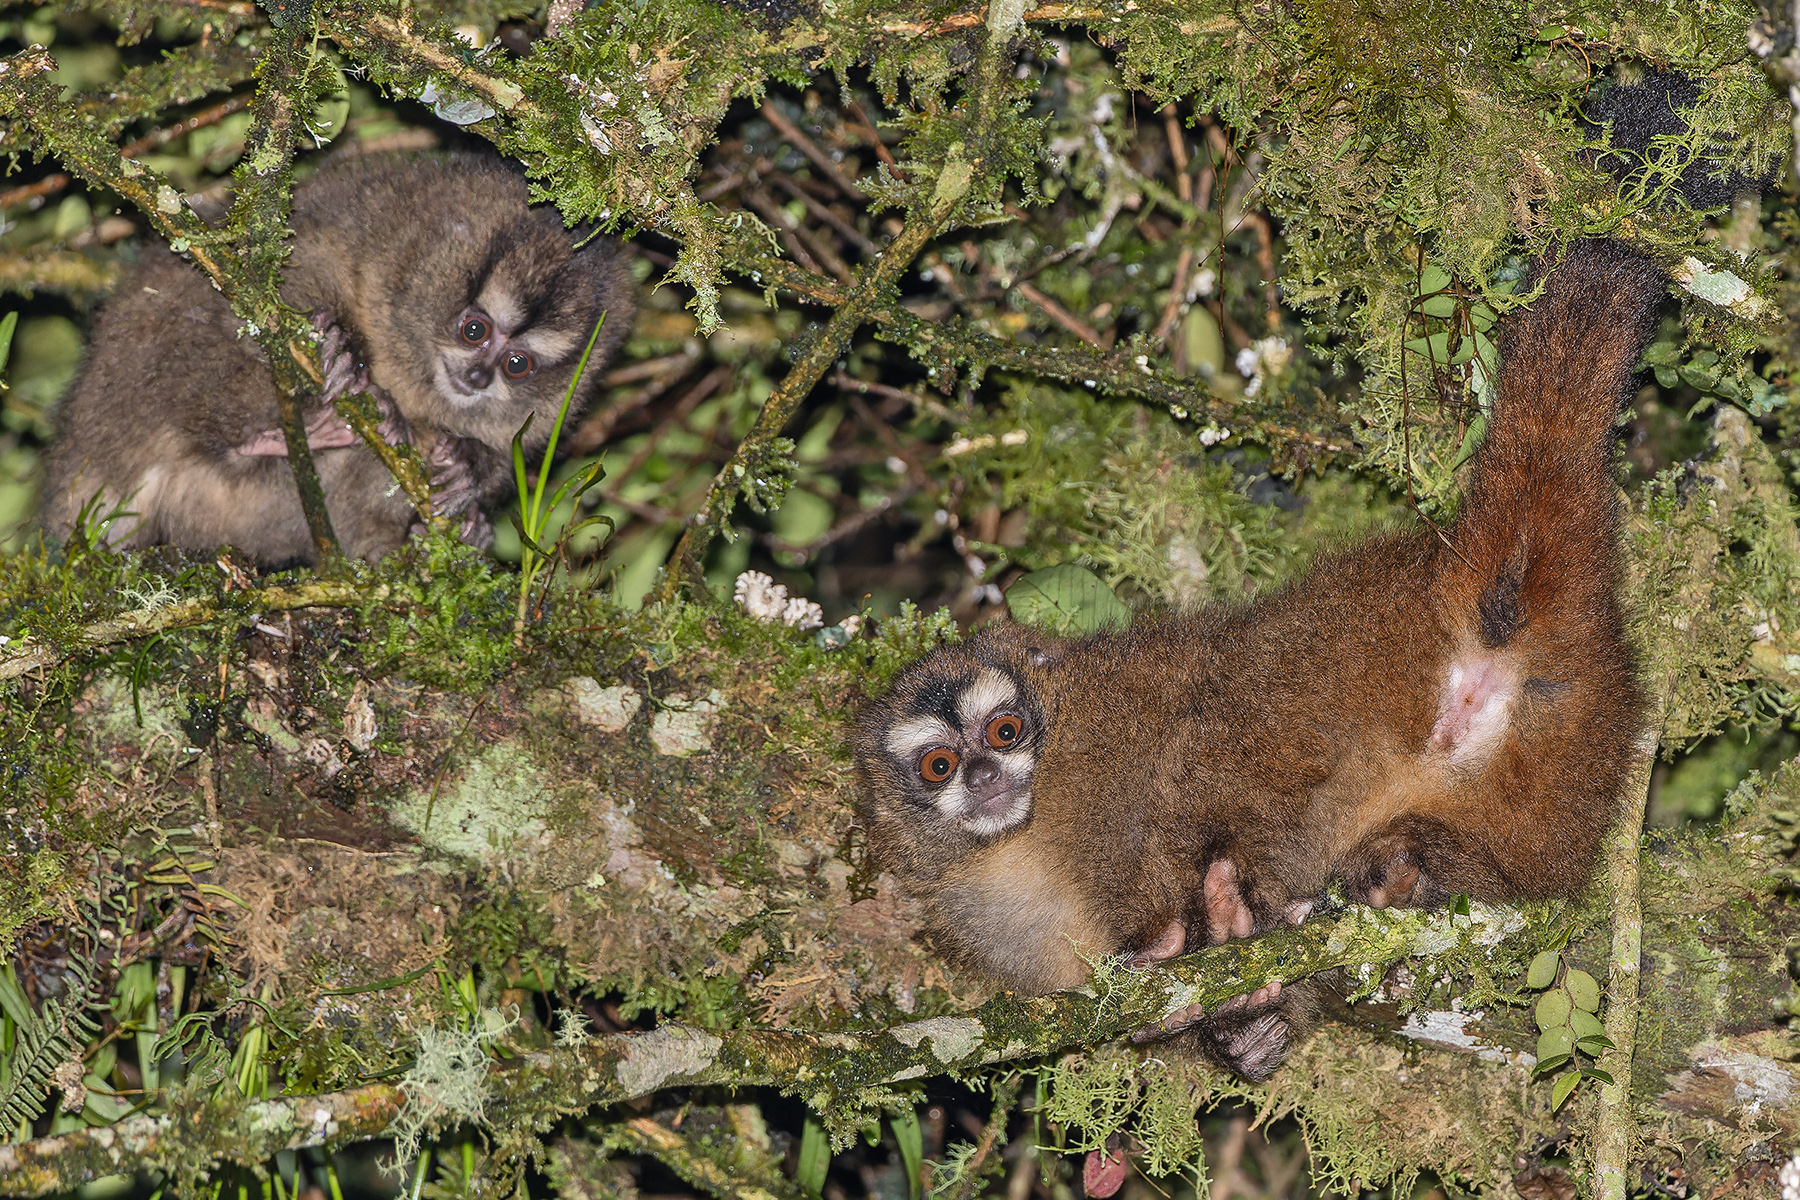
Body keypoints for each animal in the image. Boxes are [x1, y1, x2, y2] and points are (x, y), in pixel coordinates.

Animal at [40, 152, 636, 567]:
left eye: (519, 366)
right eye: (474, 330)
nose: (476, 375)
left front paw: (465, 470)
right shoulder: (353, 236)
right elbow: (269, 273)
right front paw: (341, 347)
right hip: (143, 376)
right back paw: (309, 424)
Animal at [857, 238, 1666, 1078]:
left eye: (1005, 732)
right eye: (938, 767)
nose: (985, 776)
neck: (1020, 837)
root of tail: (1443, 573)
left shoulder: (1110, 728)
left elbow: (1165, 777)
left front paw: (1189, 940)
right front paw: (1246, 1028)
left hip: (1340, 649)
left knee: (1221, 727)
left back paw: (1231, 913)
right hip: (1564, 762)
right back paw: (1406, 874)